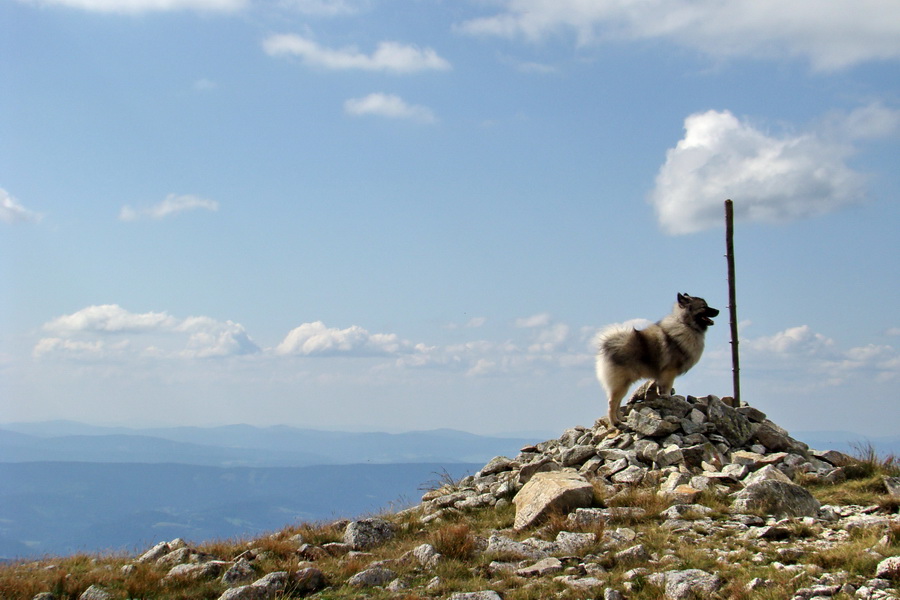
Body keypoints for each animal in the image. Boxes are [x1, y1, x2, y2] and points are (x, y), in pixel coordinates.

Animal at [596, 294, 720, 426]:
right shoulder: (669, 372)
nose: (718, 311)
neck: (685, 324)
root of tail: (609, 345)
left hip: (624, 384)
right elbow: (667, 387)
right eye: (704, 307)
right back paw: (614, 422)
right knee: (612, 403)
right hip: (621, 383)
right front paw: (668, 397)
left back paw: (621, 418)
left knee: (618, 402)